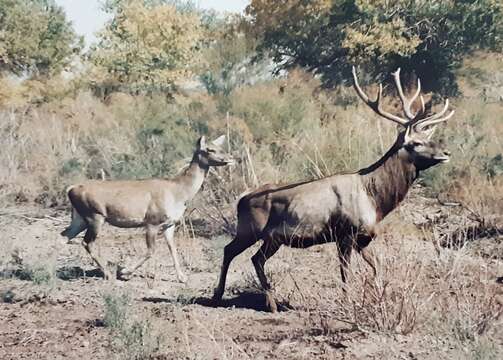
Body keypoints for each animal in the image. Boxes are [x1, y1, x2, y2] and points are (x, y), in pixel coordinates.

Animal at [213, 67, 456, 312]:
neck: (374, 200)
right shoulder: (344, 233)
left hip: (272, 238)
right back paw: (221, 296)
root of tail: (242, 200)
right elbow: (345, 272)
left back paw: (268, 303)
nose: (446, 153)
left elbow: (377, 265)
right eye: (416, 143)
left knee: (255, 258)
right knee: (231, 251)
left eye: (427, 137)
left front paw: (380, 297)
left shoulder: (363, 238)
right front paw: (348, 303)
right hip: (250, 229)